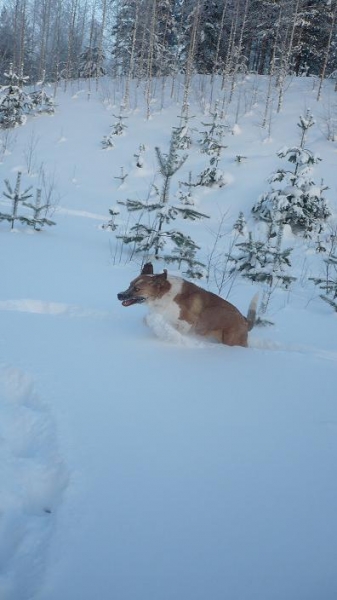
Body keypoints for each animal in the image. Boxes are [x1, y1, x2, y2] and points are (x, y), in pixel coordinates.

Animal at [117, 262, 258, 346]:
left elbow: (178, 330)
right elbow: (147, 319)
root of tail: (245, 321)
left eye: (137, 289)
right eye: (130, 284)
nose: (119, 295)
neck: (165, 295)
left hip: (231, 340)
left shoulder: (187, 322)